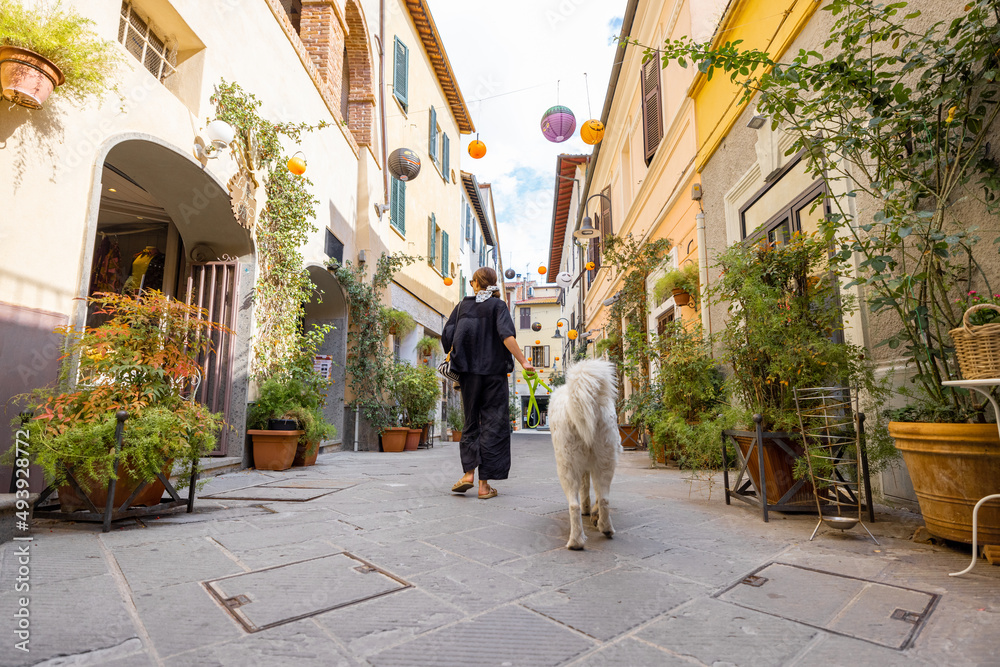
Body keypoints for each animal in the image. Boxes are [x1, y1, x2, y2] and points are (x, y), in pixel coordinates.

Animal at [548, 360, 616, 548]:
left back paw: (575, 542)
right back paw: (606, 528)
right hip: (605, 460)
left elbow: (584, 490)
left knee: (574, 505)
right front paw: (593, 513)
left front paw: (587, 509)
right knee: (604, 498)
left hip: (566, 466)